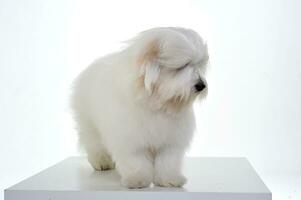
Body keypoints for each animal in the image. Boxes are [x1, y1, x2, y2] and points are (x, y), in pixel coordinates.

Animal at [71, 27, 207, 188]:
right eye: (182, 65)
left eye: (199, 65)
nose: (201, 85)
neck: (156, 103)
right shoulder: (130, 139)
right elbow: (136, 161)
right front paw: (137, 180)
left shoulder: (170, 141)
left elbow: (168, 161)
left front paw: (170, 179)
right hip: (89, 124)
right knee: (94, 144)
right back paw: (102, 163)